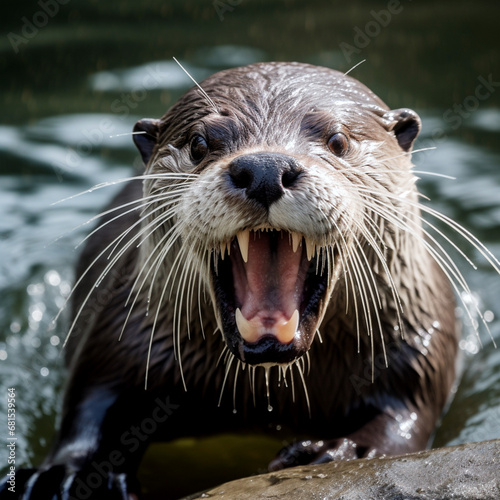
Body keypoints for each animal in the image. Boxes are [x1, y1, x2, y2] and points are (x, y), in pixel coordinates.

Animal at [1, 63, 460, 500]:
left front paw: (343, 451)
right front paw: (66, 474)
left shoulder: (415, 341)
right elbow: (92, 400)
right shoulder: (124, 327)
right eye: (200, 144)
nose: (265, 168)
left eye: (338, 141)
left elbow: (407, 411)